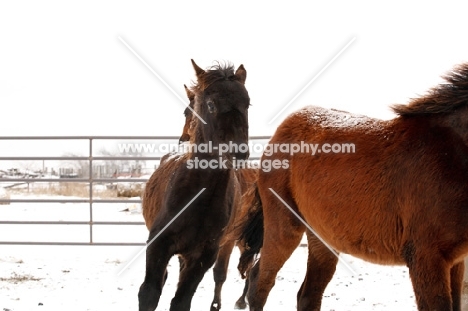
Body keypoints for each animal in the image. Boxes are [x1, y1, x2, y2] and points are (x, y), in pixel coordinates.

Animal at [137, 59, 250, 310]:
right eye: (210, 104)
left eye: (247, 102)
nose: (238, 152)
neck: (198, 195)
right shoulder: (158, 245)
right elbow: (149, 293)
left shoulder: (204, 255)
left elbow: (181, 300)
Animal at [239, 62, 468, 310]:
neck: (450, 152)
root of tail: (279, 133)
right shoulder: (426, 258)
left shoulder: (456, 262)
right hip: (284, 227)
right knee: (259, 284)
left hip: (321, 237)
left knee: (308, 295)